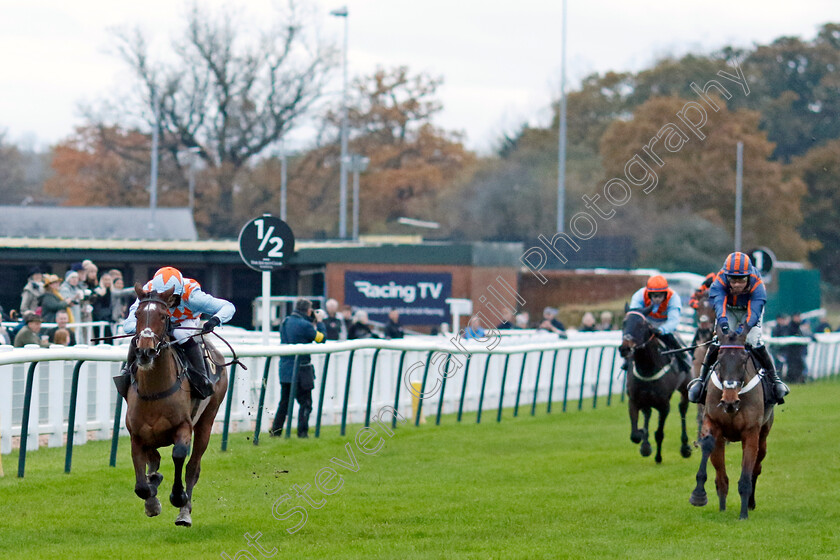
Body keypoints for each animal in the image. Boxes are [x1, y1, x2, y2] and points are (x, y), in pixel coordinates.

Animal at [123, 286, 228, 528]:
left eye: (164, 316)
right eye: (137, 315)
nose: (145, 352)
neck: (154, 392)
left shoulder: (183, 427)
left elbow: (179, 456)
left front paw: (178, 496)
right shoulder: (137, 434)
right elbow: (142, 485)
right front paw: (152, 497)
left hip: (207, 419)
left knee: (193, 467)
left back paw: (184, 513)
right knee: (155, 459)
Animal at [620, 308, 692, 462]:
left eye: (641, 325)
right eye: (624, 323)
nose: (625, 348)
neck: (647, 368)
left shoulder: (664, 405)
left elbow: (659, 433)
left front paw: (658, 457)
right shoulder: (634, 400)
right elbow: (634, 435)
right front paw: (643, 439)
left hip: (686, 387)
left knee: (682, 409)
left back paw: (685, 447)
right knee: (647, 412)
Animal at [688, 328, 776, 520]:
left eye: (743, 361)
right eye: (719, 360)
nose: (729, 401)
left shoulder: (751, 432)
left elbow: (747, 473)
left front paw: (743, 514)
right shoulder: (713, 422)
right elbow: (717, 468)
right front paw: (700, 496)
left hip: (764, 433)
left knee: (757, 467)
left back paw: (750, 503)